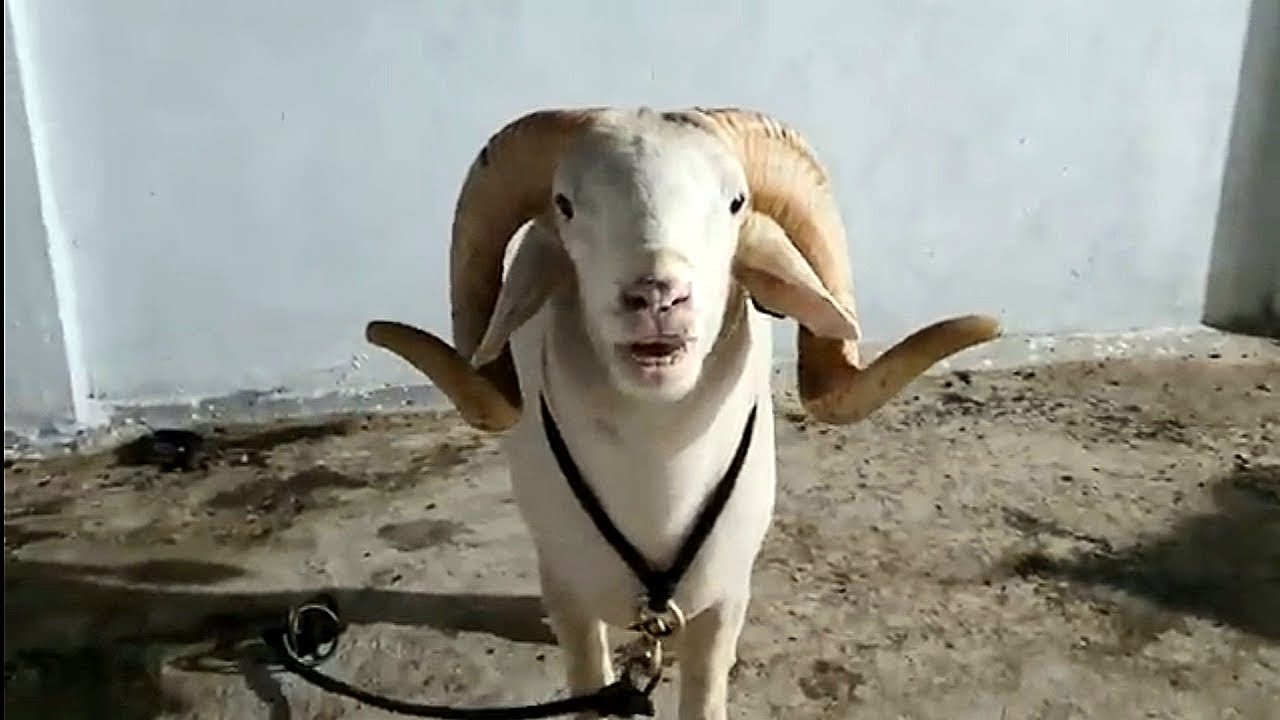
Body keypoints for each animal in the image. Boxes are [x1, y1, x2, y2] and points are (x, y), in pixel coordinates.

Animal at [366, 106, 1001, 719]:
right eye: (565, 204)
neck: (657, 484)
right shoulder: (573, 600)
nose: (656, 295)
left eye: (736, 201)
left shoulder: (721, 603)